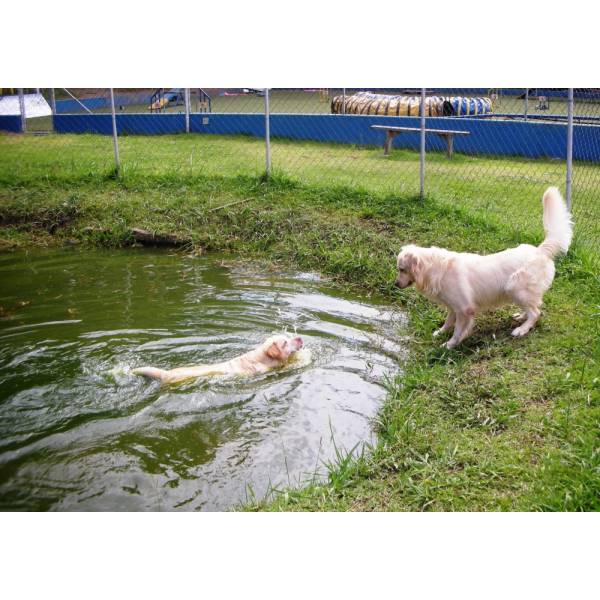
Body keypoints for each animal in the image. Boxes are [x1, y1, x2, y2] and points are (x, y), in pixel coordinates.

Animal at [396, 186, 576, 346]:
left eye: (402, 269)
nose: (395, 284)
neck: (436, 269)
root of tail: (540, 250)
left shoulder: (465, 309)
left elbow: (458, 331)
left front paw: (449, 345)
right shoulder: (453, 307)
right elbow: (448, 322)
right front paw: (440, 332)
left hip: (515, 286)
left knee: (536, 312)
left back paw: (521, 329)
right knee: (534, 306)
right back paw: (521, 316)